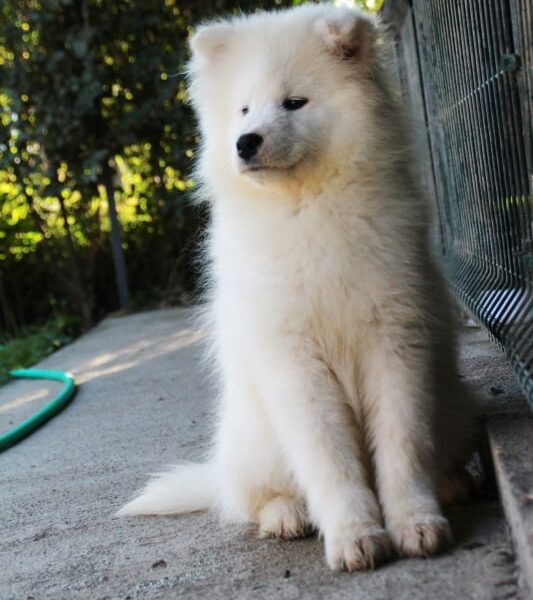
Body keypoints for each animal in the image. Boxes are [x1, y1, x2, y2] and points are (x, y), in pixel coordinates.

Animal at [119, 1, 474, 572]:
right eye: (243, 109)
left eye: (293, 102)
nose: (245, 142)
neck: (305, 206)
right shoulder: (293, 358)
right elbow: (329, 458)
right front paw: (355, 536)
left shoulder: (394, 339)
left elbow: (402, 443)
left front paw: (416, 524)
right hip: (258, 438)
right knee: (253, 497)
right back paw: (286, 516)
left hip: (455, 404)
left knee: (441, 447)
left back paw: (452, 483)